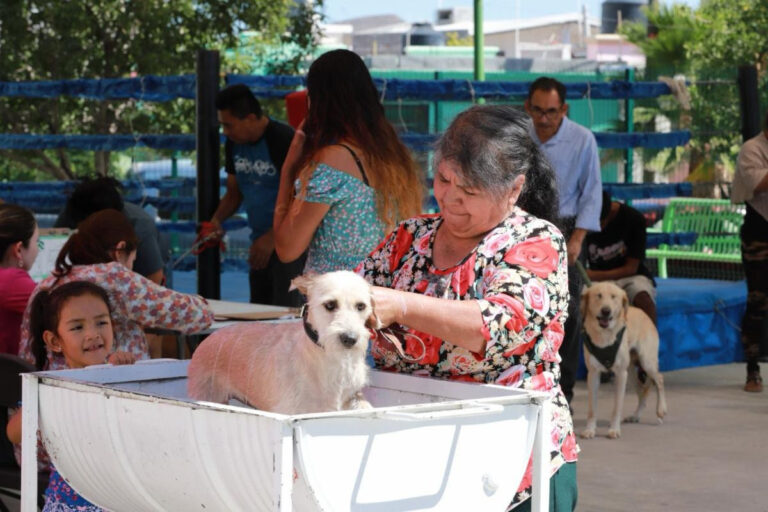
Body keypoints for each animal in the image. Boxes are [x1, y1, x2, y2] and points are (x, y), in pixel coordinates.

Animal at [580, 282, 664, 438]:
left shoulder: (620, 374)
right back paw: (635, 415)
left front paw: (614, 429)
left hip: (646, 362)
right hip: (630, 373)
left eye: (614, 297)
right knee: (642, 390)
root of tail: (643, 313)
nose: (606, 311)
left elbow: (617, 407)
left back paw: (661, 410)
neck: (605, 336)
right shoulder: (593, 374)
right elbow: (592, 409)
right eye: (598, 295)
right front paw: (590, 430)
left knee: (659, 379)